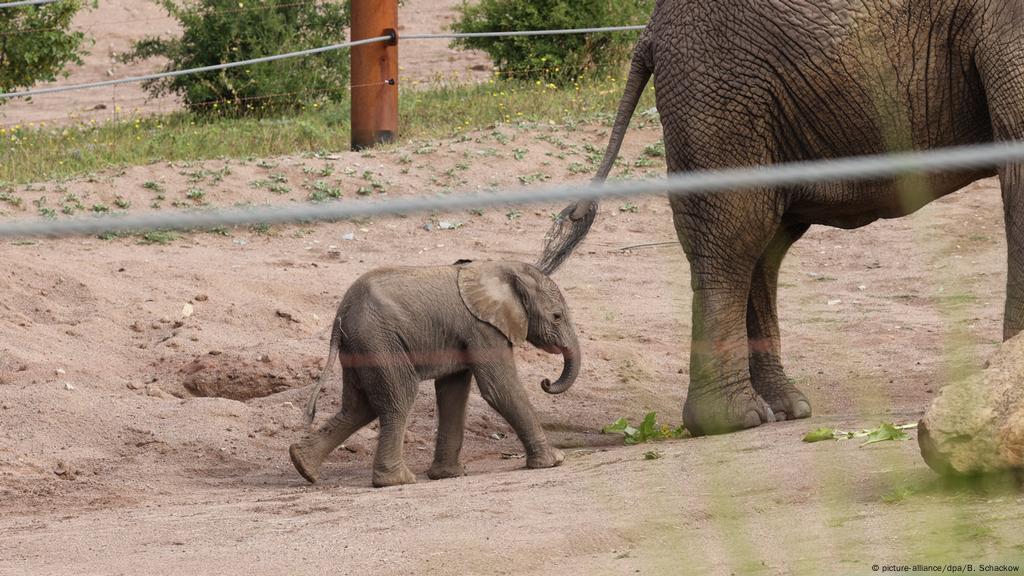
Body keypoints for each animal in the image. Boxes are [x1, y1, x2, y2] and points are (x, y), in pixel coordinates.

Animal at [288, 259, 581, 483]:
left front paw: (448, 475)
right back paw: (397, 481)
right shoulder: (483, 328)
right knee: (400, 397)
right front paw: (554, 461)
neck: (500, 268)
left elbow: (452, 392)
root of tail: (341, 314)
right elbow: (499, 387)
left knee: (358, 407)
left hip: (359, 348)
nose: (546, 382)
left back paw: (303, 466)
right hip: (379, 342)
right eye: (557, 316)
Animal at [540, 0, 1019, 434]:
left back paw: (784, 409)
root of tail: (650, 30)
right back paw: (732, 421)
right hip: (721, 86)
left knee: (766, 245)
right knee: (736, 233)